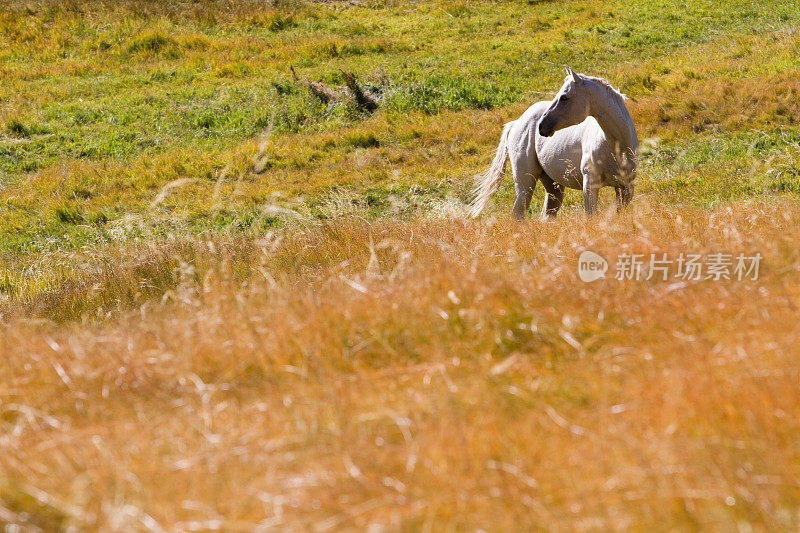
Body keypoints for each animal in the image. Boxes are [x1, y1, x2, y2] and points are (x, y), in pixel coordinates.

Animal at [468, 68, 636, 218]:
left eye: (564, 97)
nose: (542, 126)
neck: (616, 146)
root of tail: (516, 123)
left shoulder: (626, 188)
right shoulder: (590, 185)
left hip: (553, 187)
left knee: (546, 215)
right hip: (525, 184)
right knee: (518, 215)